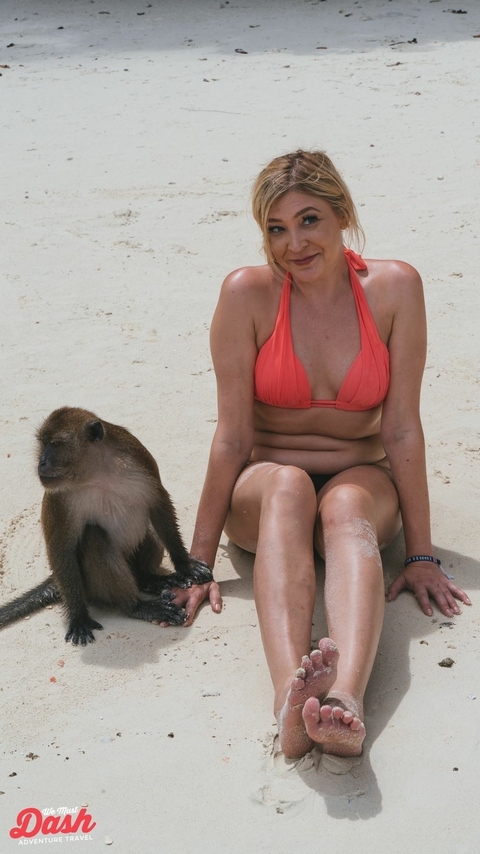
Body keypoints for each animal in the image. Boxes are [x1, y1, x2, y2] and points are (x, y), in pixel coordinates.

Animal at [0, 407, 213, 645]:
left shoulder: (138, 456)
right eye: (43, 443)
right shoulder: (58, 498)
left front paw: (185, 565)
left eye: (55, 444)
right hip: (90, 586)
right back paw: (136, 606)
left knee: (150, 529)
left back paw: (148, 578)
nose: (42, 462)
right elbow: (61, 548)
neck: (96, 473)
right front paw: (79, 616)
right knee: (93, 536)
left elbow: (159, 505)